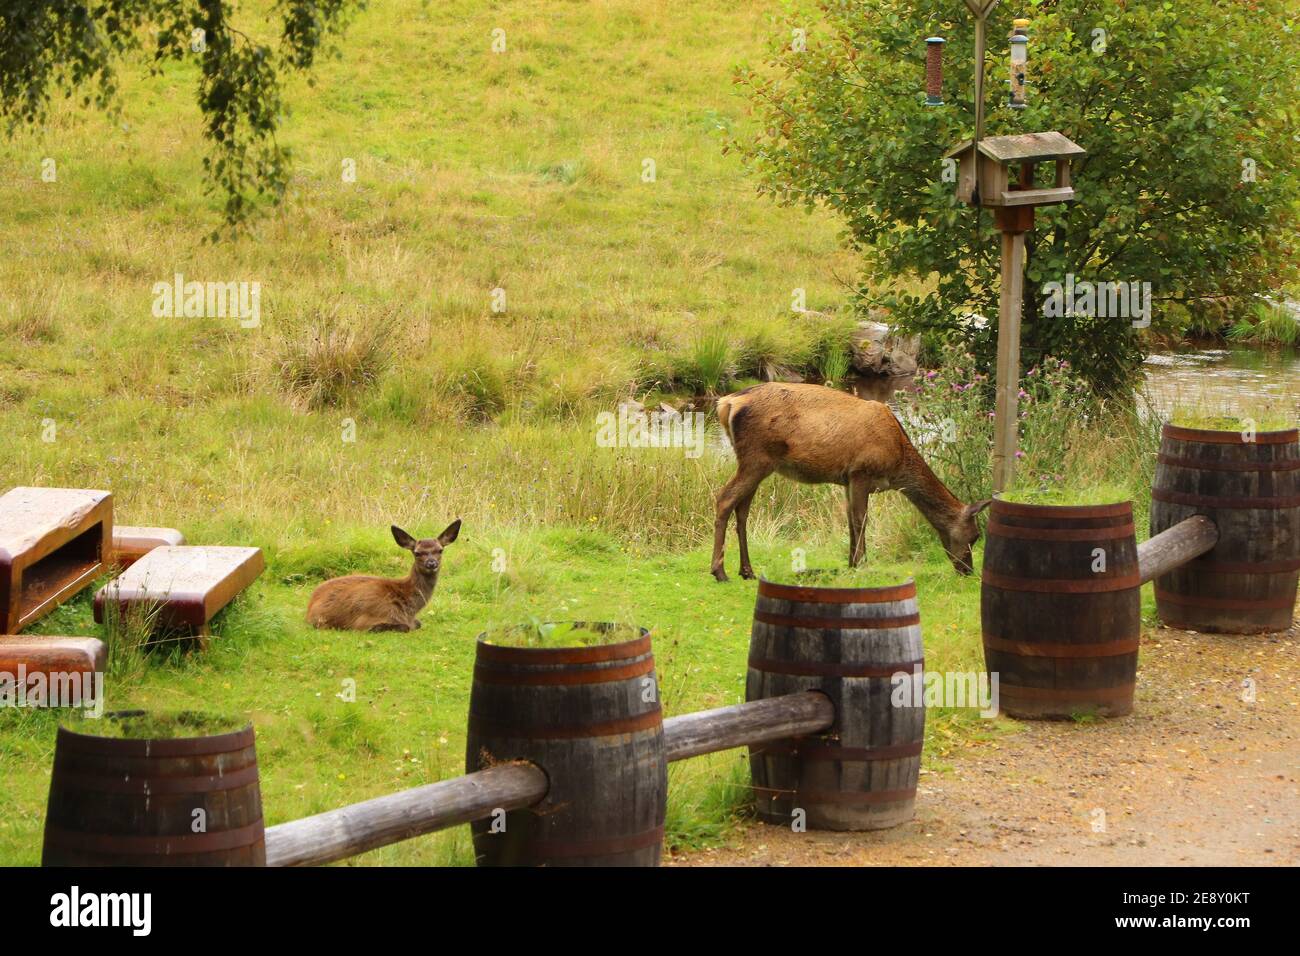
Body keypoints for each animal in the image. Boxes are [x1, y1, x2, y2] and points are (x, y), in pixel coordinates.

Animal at [306, 520, 461, 632]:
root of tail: (310, 604)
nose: (431, 563)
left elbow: (418, 623)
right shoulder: (364, 620)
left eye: (440, 550)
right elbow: (405, 627)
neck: (408, 609)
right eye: (417, 553)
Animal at [711, 383, 989, 582]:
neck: (898, 461)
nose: (967, 570)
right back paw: (719, 571)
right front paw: (863, 564)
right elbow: (861, 520)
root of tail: (727, 403)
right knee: (724, 499)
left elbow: (849, 521)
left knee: (742, 509)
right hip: (757, 458)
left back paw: (746, 571)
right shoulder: (861, 471)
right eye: (975, 536)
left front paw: (851, 563)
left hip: (755, 462)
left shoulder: (847, 479)